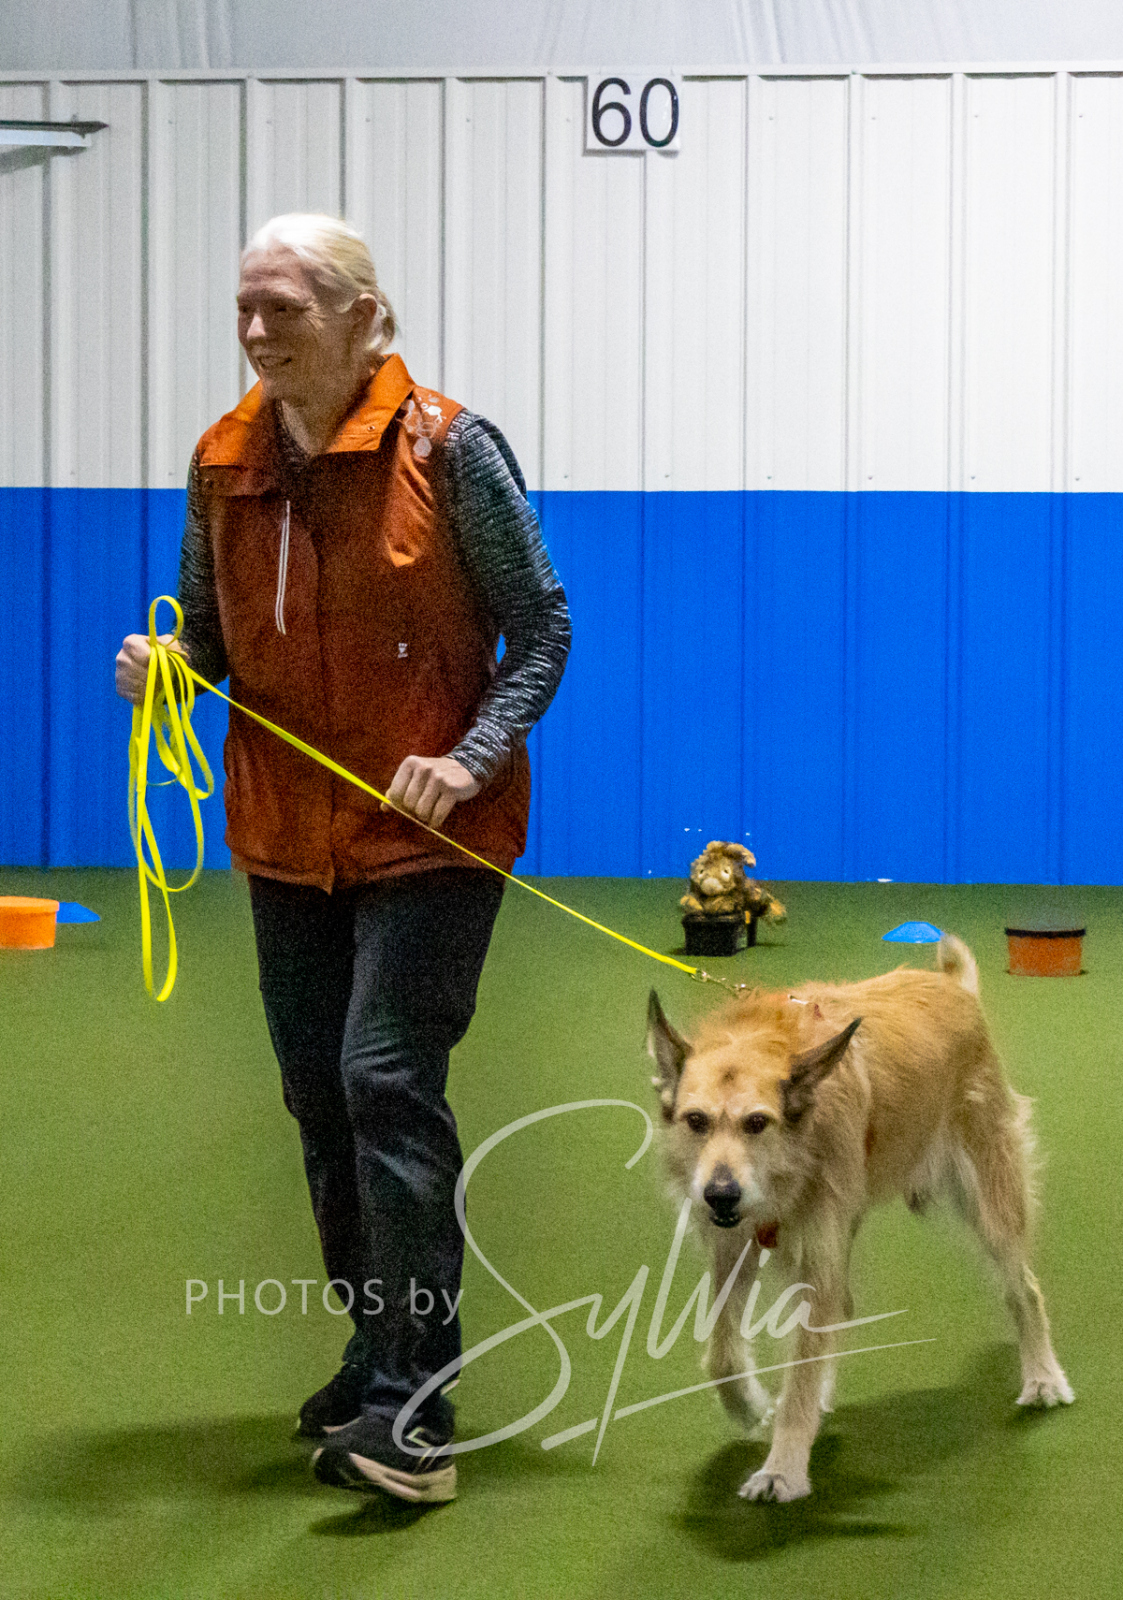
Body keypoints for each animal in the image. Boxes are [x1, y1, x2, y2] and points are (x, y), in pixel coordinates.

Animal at [647, 935, 1073, 1502]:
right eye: (695, 1121)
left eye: (757, 1123)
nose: (719, 1195)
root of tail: (954, 988)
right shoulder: (734, 1246)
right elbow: (722, 1351)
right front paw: (750, 1406)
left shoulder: (816, 1249)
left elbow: (801, 1369)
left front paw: (783, 1468)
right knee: (839, 1308)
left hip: (989, 1199)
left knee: (1023, 1287)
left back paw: (1043, 1376)